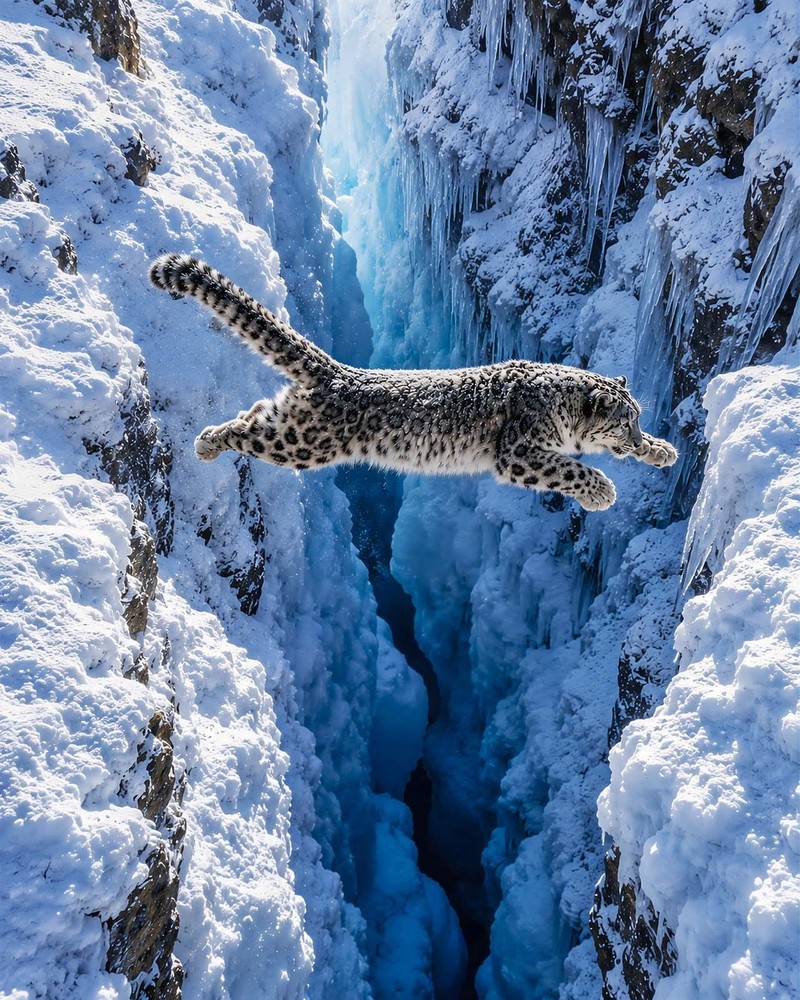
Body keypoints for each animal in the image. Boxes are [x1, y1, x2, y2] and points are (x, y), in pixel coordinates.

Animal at [149, 254, 678, 511]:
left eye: (637, 419)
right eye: (622, 422)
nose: (634, 440)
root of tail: (340, 371)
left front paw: (663, 450)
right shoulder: (519, 451)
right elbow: (569, 468)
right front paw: (602, 492)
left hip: (291, 422)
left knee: (256, 412)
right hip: (303, 442)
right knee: (248, 432)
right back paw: (206, 442)